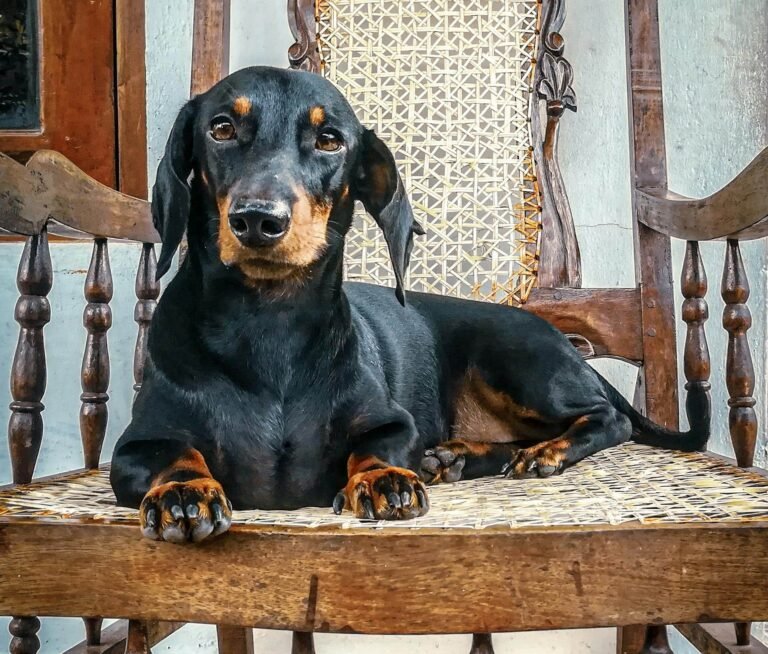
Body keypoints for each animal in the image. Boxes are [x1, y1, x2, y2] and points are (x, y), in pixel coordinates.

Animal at [108, 66, 708, 544]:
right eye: (221, 129)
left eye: (330, 140)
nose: (258, 219)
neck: (268, 322)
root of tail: (561, 340)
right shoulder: (132, 449)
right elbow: (172, 454)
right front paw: (185, 491)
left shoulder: (395, 424)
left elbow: (380, 445)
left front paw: (383, 479)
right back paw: (457, 456)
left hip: (518, 363)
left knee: (609, 418)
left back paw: (542, 453)